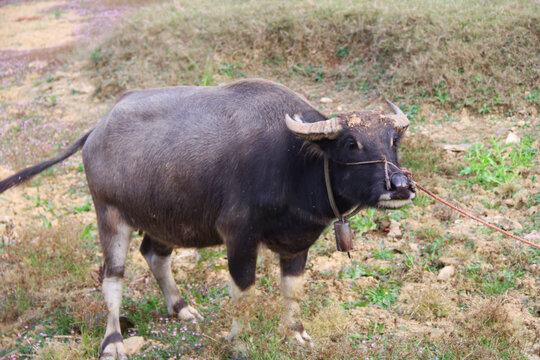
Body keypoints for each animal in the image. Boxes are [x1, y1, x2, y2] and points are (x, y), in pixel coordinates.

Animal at [0, 78, 418, 358]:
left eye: (393, 142)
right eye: (351, 143)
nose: (400, 186)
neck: (293, 162)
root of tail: (96, 131)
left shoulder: (297, 243)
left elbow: (292, 290)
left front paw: (296, 333)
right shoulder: (239, 237)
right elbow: (244, 290)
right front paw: (240, 340)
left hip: (164, 218)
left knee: (154, 255)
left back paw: (181, 307)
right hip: (110, 215)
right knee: (112, 278)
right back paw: (113, 341)